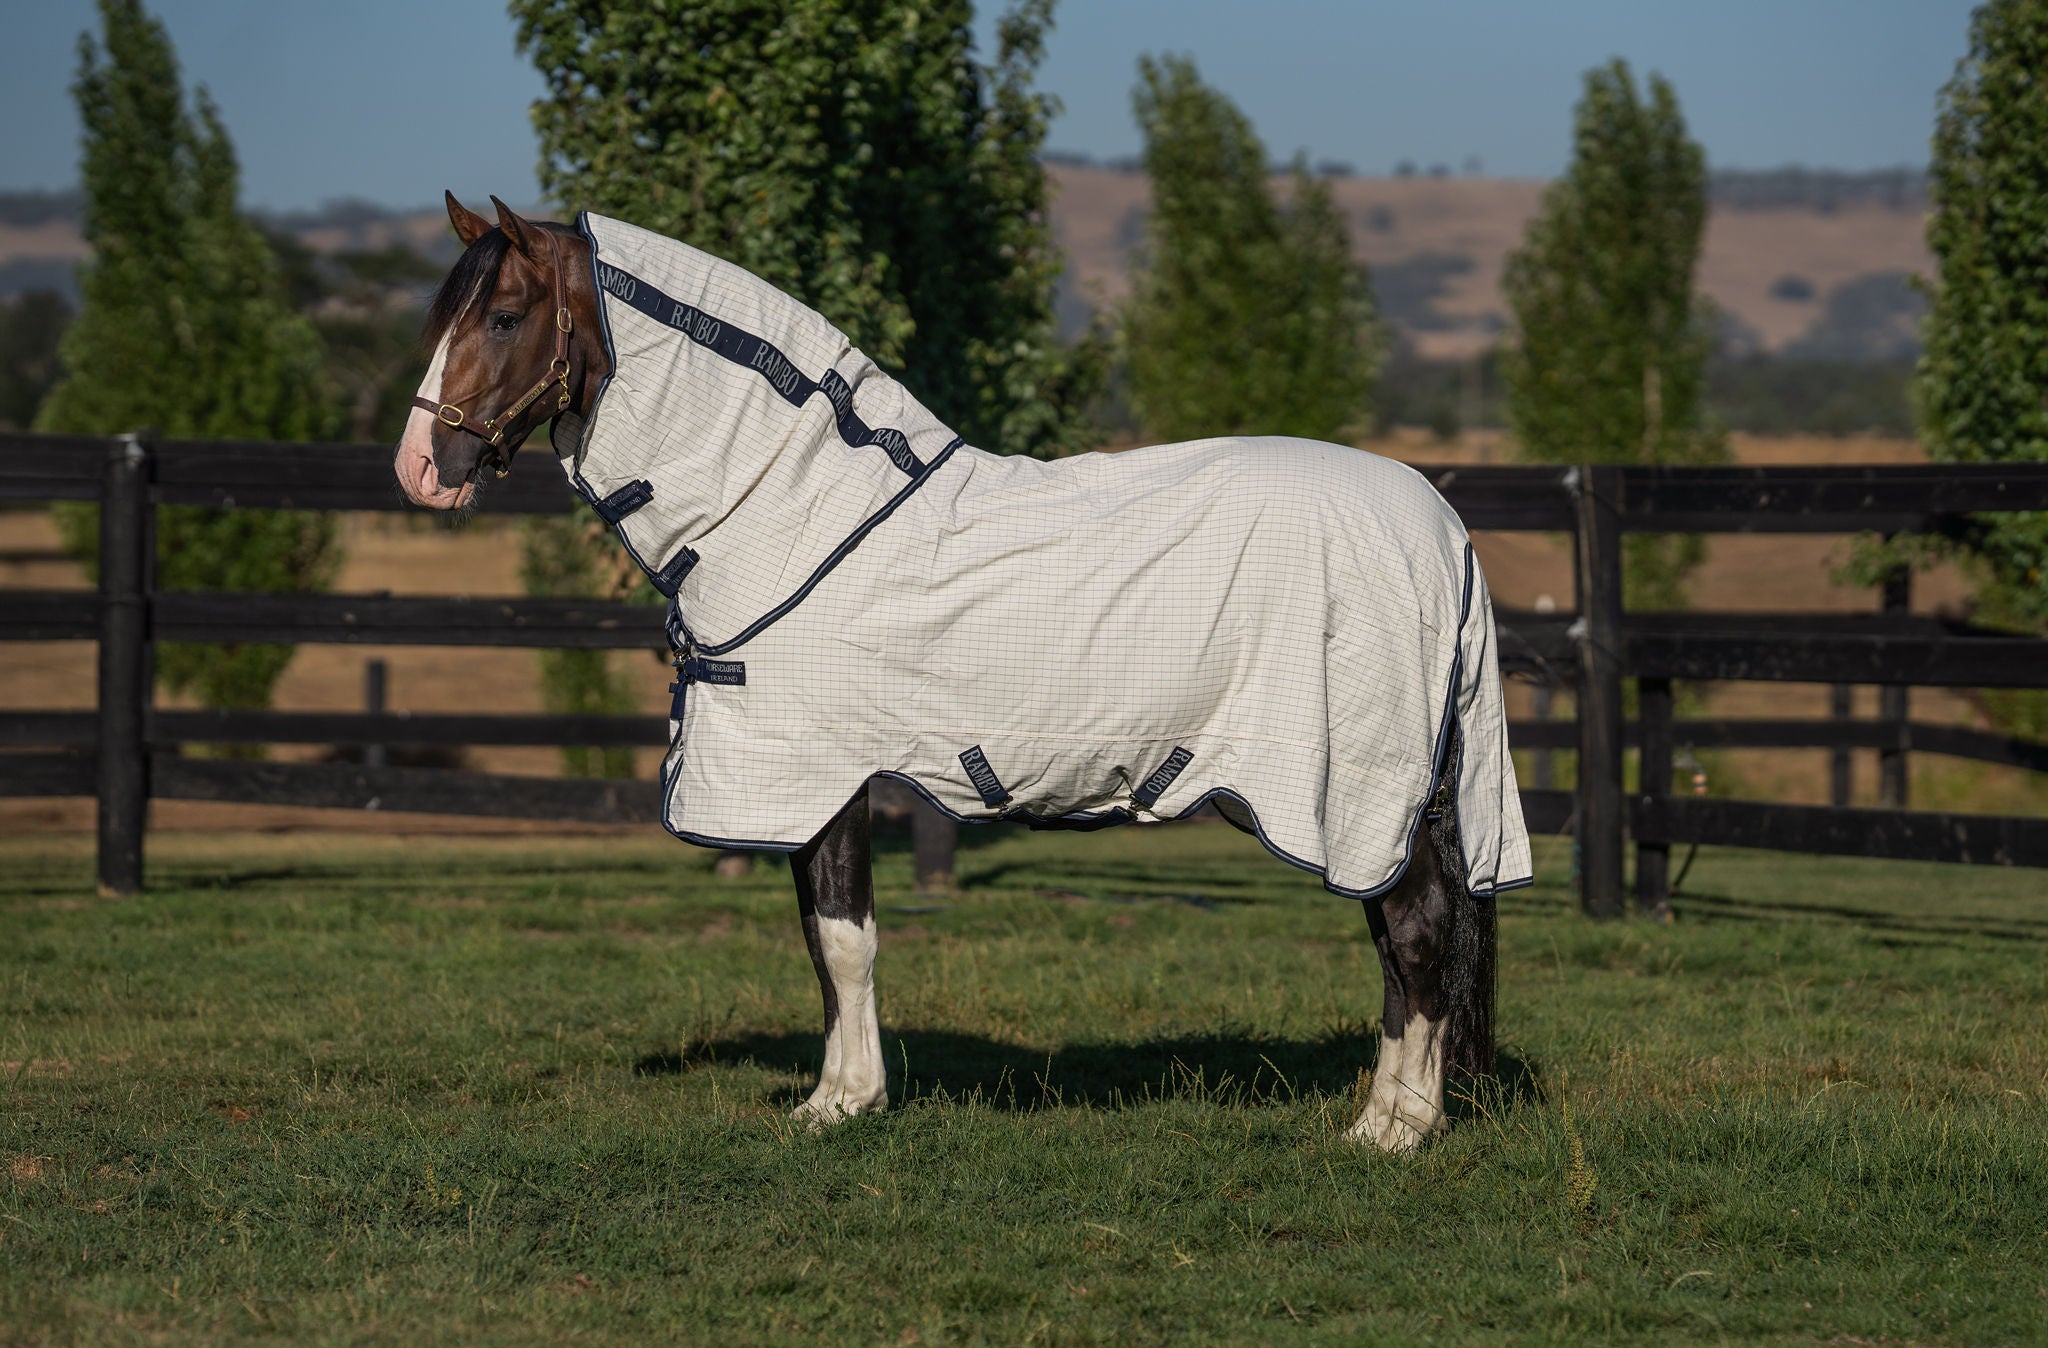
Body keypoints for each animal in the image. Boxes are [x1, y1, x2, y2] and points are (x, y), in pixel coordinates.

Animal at [395, 193, 1531, 1151]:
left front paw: (840, 1105)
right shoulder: (812, 780)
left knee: (1415, 934)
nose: (420, 471)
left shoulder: (816, 773)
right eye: (444, 316)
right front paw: (840, 1094)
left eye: (504, 316)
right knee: (1406, 943)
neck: (794, 512)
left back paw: (1394, 1131)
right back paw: (1391, 1111)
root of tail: (1440, 529)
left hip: (1357, 788)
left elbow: (842, 939)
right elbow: (824, 939)